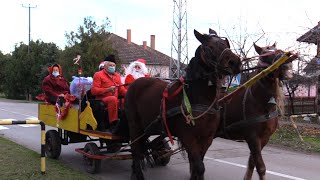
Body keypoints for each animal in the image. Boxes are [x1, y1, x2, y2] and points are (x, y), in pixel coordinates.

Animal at [124, 28, 240, 180]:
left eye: (226, 44)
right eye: (209, 47)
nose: (235, 62)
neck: (197, 98)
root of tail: (135, 83)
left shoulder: (207, 138)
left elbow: (197, 165)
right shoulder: (188, 138)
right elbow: (199, 166)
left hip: (146, 128)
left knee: (139, 149)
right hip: (134, 125)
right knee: (136, 150)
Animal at [218, 43, 292, 180]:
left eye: (278, 50)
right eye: (264, 55)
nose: (287, 66)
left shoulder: (264, 138)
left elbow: (252, 163)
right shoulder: (253, 137)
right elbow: (261, 167)